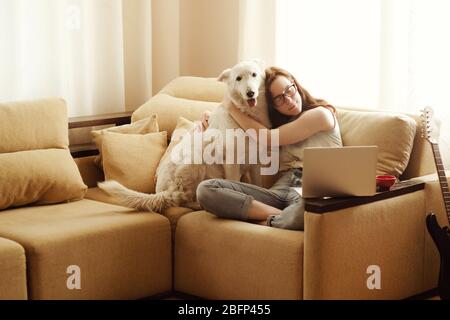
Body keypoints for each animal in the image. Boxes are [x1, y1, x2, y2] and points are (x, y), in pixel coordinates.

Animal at [98, 60, 270, 212]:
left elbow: (258, 185)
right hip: (194, 162)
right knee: (182, 198)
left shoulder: (255, 162)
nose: (250, 93)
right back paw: (197, 205)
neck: (245, 116)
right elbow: (234, 183)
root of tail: (160, 192)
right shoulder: (231, 162)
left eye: (254, 74)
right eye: (238, 78)